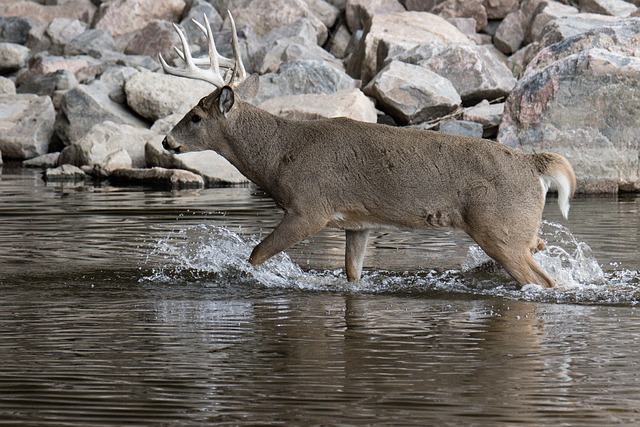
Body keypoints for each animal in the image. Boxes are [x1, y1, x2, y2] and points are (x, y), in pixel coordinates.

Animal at [159, 13, 576, 288]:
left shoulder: (310, 207)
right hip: (515, 229)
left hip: (498, 228)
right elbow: (352, 274)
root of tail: (534, 164)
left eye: (196, 116)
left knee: (545, 282)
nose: (166, 141)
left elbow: (255, 254)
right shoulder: (357, 223)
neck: (278, 156)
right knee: (540, 249)